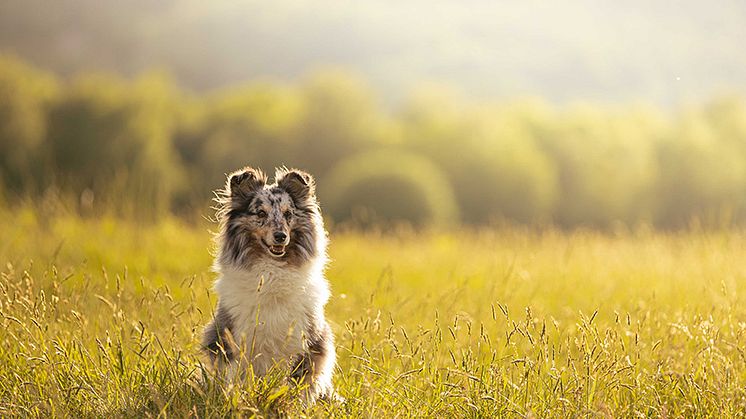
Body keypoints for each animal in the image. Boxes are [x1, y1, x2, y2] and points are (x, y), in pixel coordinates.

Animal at [201, 167, 334, 404]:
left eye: (288, 214)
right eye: (261, 213)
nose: (280, 236)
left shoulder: (309, 342)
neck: (272, 271)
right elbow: (235, 376)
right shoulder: (231, 339)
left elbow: (298, 383)